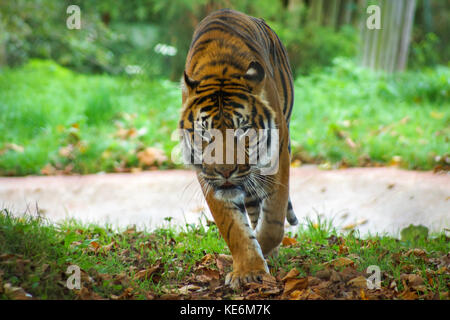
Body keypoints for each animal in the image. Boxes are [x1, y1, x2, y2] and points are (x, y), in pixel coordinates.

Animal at [179, 8, 298, 288]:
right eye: (204, 132)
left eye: (243, 129)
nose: (225, 171)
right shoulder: (207, 176)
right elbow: (232, 226)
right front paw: (248, 269)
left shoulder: (278, 153)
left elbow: (274, 218)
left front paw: (262, 251)